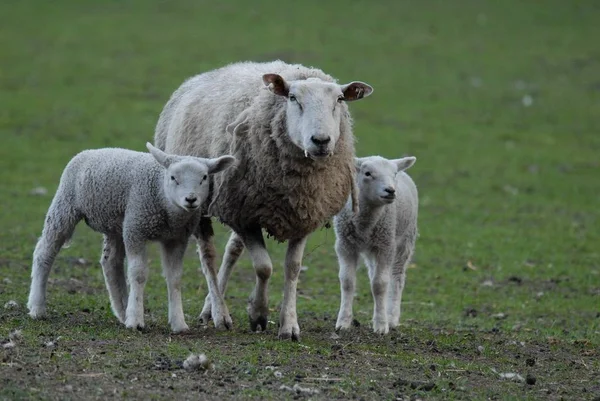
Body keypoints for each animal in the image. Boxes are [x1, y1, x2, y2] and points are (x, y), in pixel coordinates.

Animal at [26, 141, 237, 332]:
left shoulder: (176, 238)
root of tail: (91, 150)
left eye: (204, 177)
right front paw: (136, 320)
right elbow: (138, 274)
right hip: (66, 206)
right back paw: (37, 308)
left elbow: (175, 278)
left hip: (116, 224)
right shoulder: (136, 230)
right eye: (173, 177)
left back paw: (122, 311)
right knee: (44, 252)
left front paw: (178, 323)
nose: (191, 199)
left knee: (111, 262)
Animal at [152, 60, 372, 340]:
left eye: (340, 99)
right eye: (292, 98)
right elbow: (264, 267)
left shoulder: (304, 213)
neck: (295, 185)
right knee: (208, 256)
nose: (321, 141)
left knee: (231, 251)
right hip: (199, 202)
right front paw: (258, 314)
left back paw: (210, 308)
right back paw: (220, 314)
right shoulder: (243, 216)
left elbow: (293, 267)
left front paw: (289, 325)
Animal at [332, 155, 418, 332]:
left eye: (394, 173)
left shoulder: (385, 247)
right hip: (372, 247)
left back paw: (391, 317)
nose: (390, 190)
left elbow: (380, 285)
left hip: (405, 240)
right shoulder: (345, 246)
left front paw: (381, 325)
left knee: (397, 278)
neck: (365, 223)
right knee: (373, 274)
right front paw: (343, 322)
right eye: (367, 173)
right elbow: (347, 282)